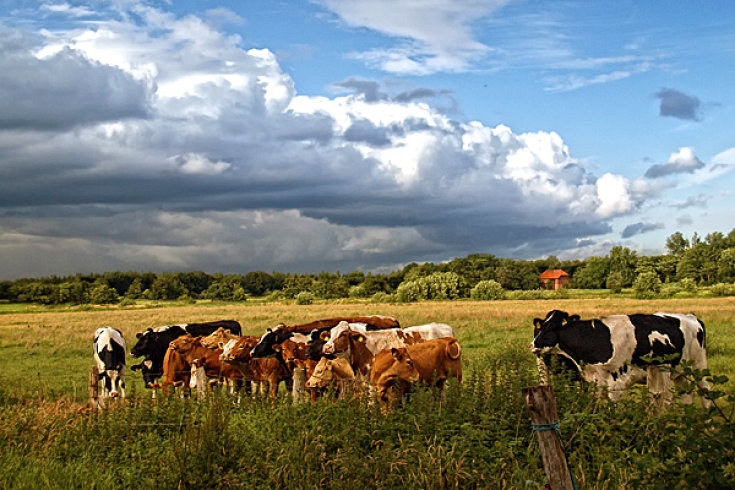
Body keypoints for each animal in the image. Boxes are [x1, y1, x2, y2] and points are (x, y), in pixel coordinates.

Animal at [532, 312, 712, 404]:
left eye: (551, 328)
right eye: (541, 326)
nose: (532, 344)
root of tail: (692, 317)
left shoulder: (616, 383)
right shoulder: (598, 381)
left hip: (699, 366)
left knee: (706, 391)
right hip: (680, 371)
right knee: (687, 394)